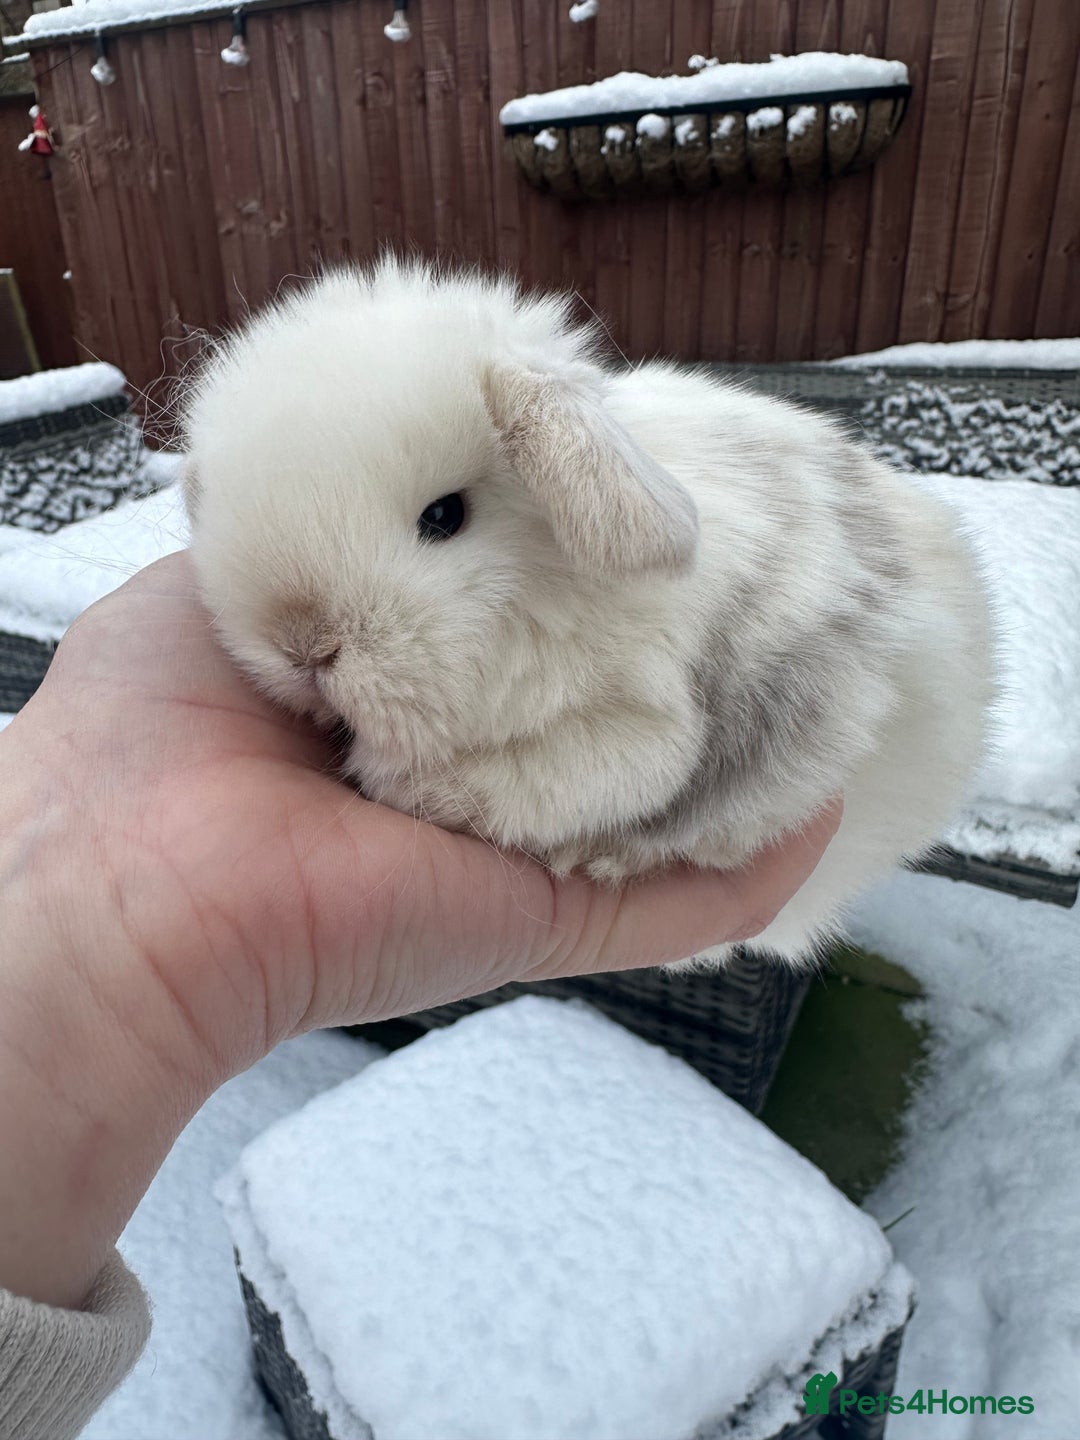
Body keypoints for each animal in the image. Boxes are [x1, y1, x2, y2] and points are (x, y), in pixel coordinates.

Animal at [180, 256, 993, 966]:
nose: (304, 645)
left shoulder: (639, 728)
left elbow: (557, 780)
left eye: (444, 516)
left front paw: (397, 778)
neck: (539, 594)